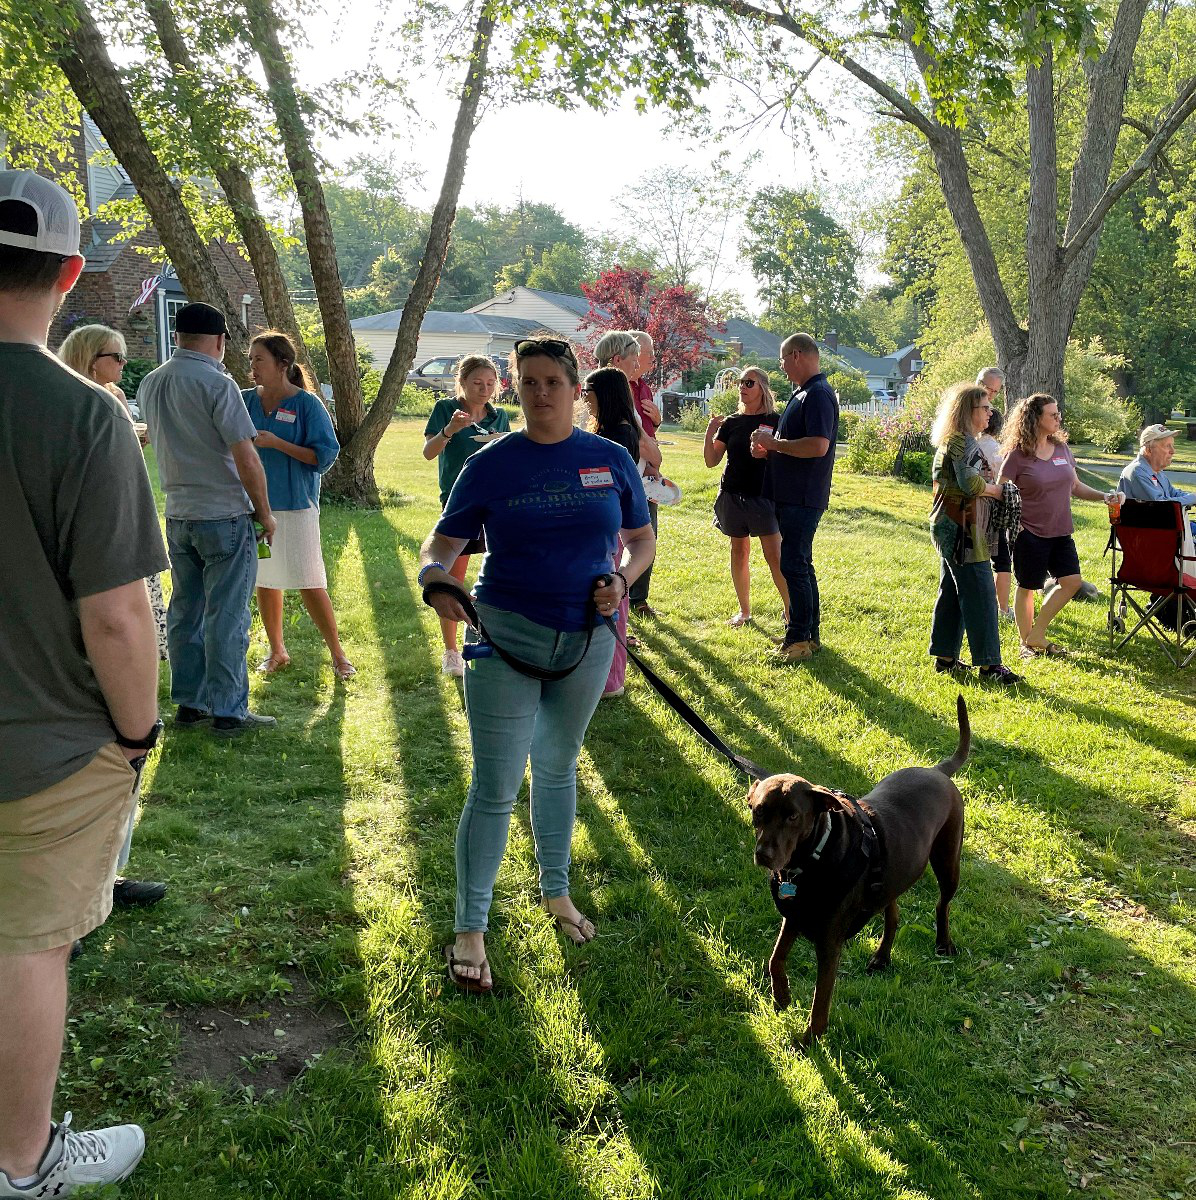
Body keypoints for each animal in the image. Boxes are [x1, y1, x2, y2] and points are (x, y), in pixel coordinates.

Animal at [753, 696, 964, 1041]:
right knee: (893, 914)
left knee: (942, 905)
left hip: (948, 863)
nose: (764, 855)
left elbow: (820, 1000)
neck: (812, 861)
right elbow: (775, 958)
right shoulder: (794, 916)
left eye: (793, 816)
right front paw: (781, 996)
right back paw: (881, 957)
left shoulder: (829, 943)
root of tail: (938, 771)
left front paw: (809, 1040)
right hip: (892, 875)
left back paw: (943, 944)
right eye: (758, 811)